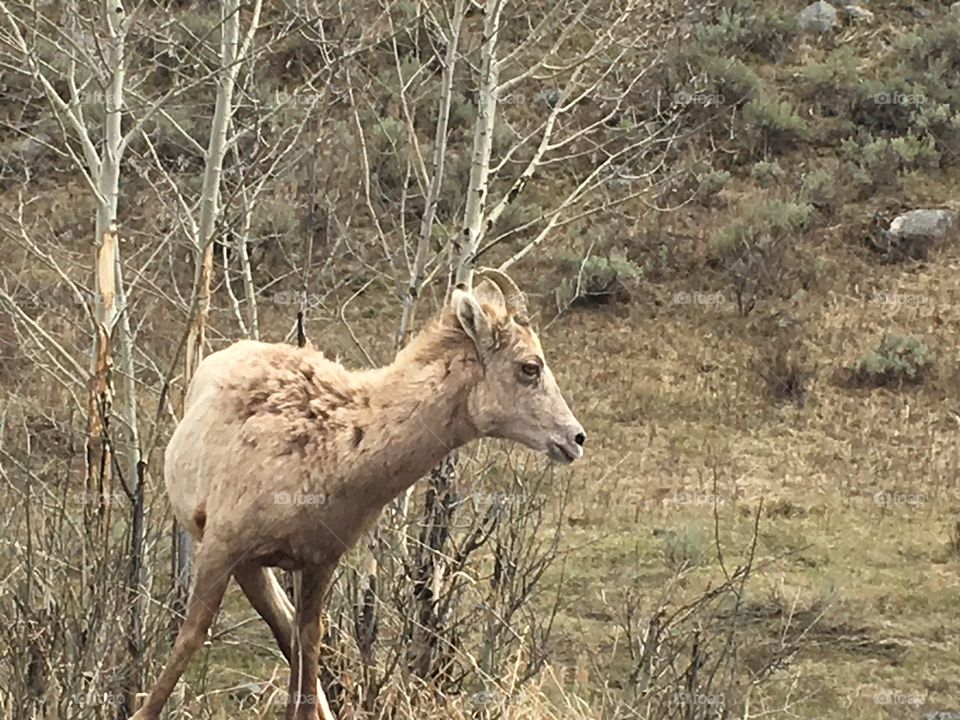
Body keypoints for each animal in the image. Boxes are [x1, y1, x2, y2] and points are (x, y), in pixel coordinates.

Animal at [130, 269, 586, 720]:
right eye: (530, 366)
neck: (335, 453)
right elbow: (190, 639)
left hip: (260, 569)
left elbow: (307, 650)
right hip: (244, 562)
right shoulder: (223, 546)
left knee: (289, 634)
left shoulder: (316, 561)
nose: (576, 438)